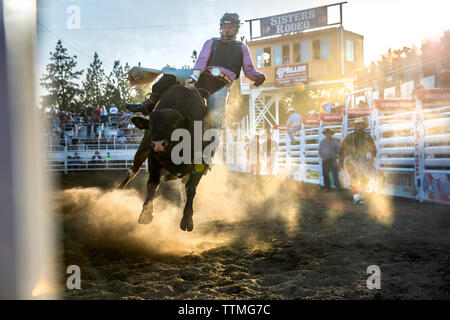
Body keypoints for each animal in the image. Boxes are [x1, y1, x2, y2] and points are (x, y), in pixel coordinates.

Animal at [128, 84, 218, 231]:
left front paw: (187, 219)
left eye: (175, 125)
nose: (159, 144)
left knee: (183, 187)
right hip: (143, 149)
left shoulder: (201, 162)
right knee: (132, 171)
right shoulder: (152, 158)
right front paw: (145, 214)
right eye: (150, 125)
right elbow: (152, 184)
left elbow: (190, 189)